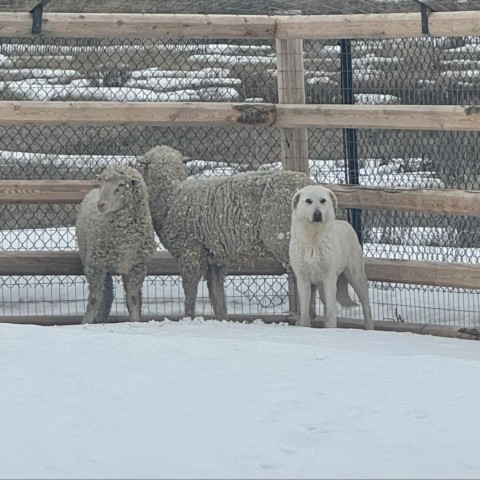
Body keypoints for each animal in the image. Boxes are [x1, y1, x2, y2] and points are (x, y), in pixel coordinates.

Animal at [75, 166, 156, 326]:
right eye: (102, 183)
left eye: (121, 185)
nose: (101, 205)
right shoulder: (95, 265)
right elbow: (94, 299)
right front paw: (86, 322)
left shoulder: (137, 267)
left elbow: (132, 298)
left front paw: (135, 320)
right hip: (99, 264)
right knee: (106, 296)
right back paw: (100, 319)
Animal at [138, 144, 318, 320]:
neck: (171, 193)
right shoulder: (214, 256)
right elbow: (216, 293)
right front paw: (222, 319)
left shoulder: (190, 250)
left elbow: (190, 288)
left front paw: (188, 318)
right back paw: (311, 315)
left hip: (285, 238)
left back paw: (305, 317)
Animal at [286, 185, 374, 330]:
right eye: (308, 201)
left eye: (323, 200)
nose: (317, 214)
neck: (313, 241)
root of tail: (346, 223)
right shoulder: (303, 279)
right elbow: (304, 311)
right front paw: (304, 327)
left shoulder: (329, 278)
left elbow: (332, 312)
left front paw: (331, 330)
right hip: (321, 287)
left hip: (356, 277)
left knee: (366, 307)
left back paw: (369, 328)